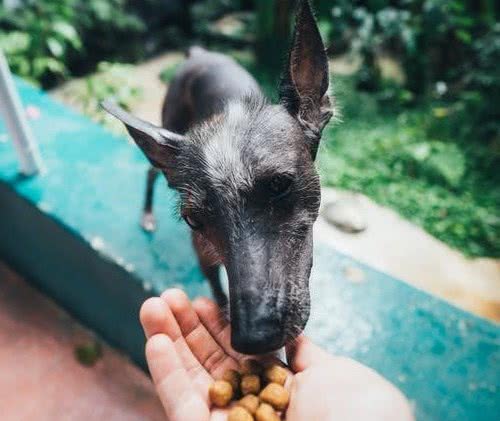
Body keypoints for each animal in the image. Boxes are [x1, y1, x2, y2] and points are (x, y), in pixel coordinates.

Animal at [102, 0, 332, 354]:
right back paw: (147, 214)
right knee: (151, 172)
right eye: (193, 219)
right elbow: (216, 288)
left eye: (279, 184)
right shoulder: (202, 253)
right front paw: (223, 309)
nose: (253, 338)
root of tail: (198, 53)